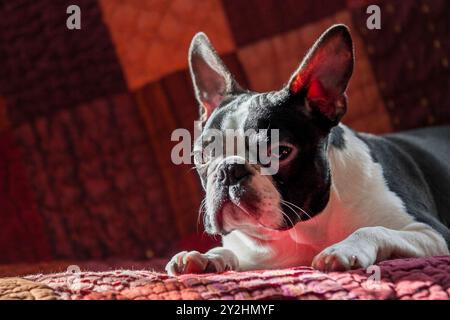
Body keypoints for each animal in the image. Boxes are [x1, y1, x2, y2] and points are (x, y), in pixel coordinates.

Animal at [165, 24, 450, 276]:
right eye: (203, 156)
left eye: (281, 152)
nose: (229, 170)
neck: (305, 228)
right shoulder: (255, 257)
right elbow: (228, 252)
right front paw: (204, 256)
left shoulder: (434, 232)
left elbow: (373, 229)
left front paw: (343, 249)